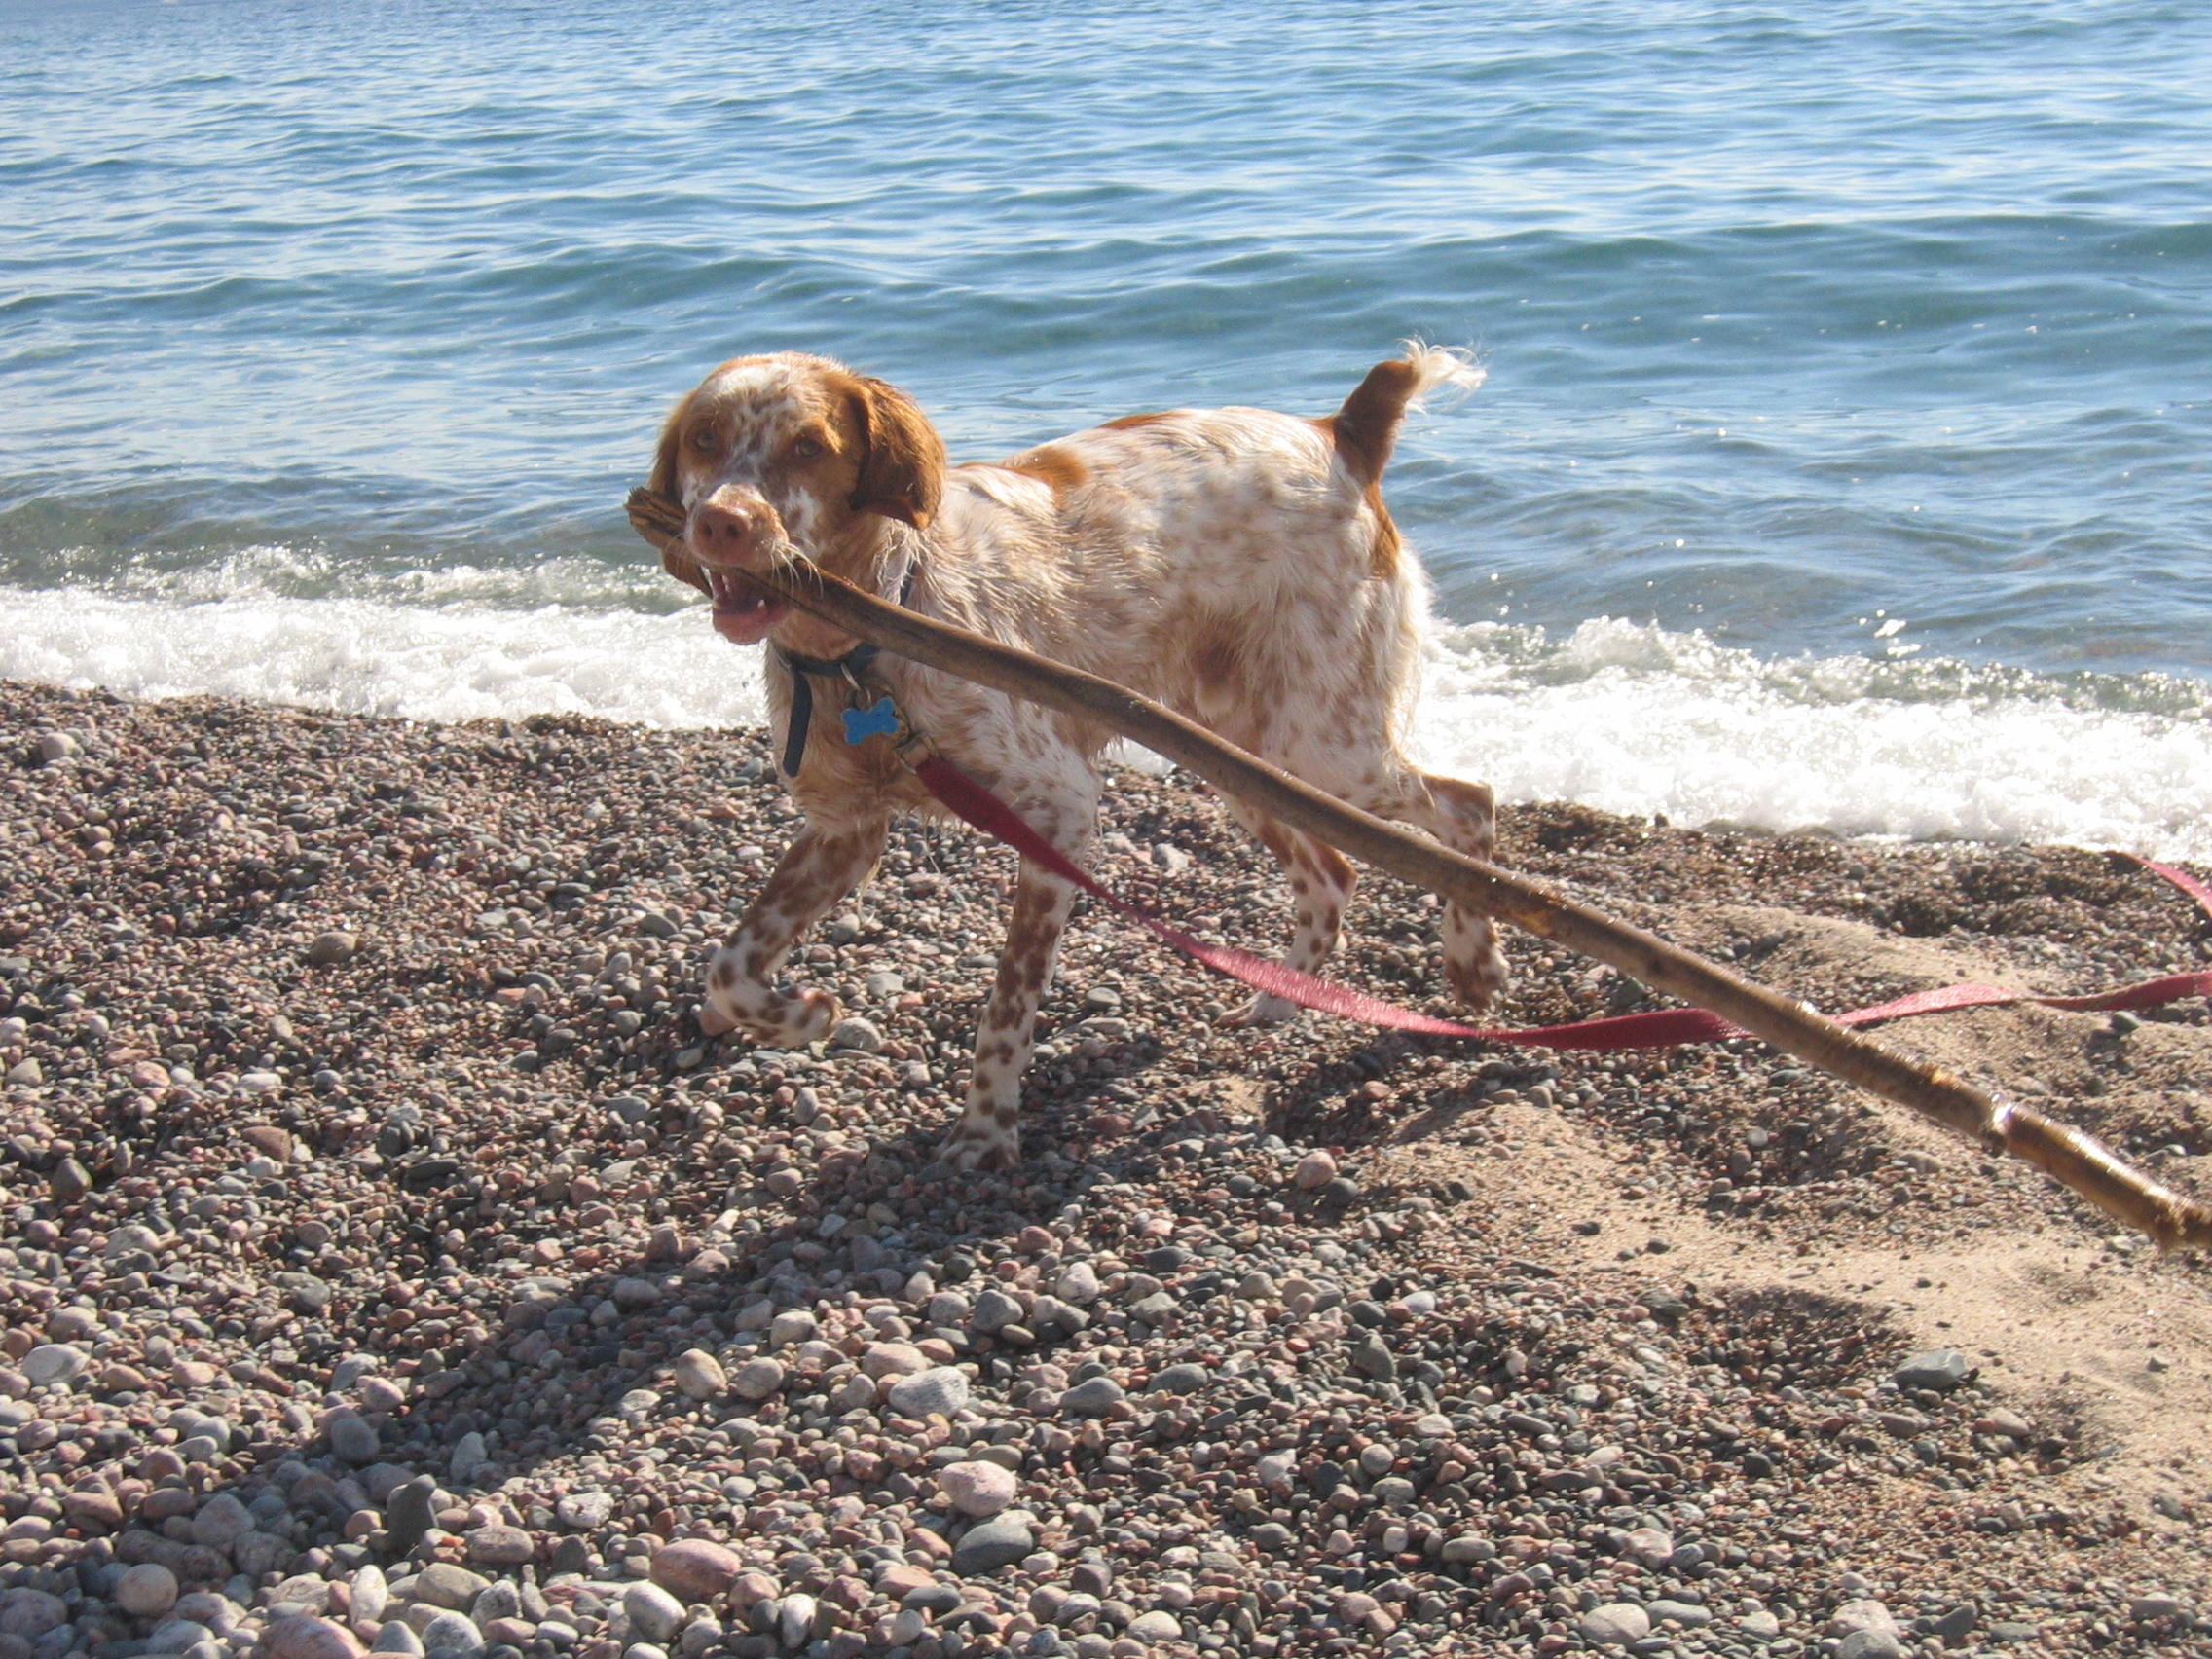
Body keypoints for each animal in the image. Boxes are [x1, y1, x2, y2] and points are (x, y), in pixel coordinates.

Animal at [645, 345, 1513, 1167]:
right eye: (704, 438)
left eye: (808, 447)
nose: (723, 523)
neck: (866, 639)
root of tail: (1338, 431)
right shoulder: (844, 831)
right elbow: (729, 968)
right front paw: (801, 1016)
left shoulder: (1057, 810)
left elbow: (1006, 1005)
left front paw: (985, 1130)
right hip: (1241, 751)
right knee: (1334, 874)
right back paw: (1279, 1002)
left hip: (1323, 744)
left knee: (1469, 802)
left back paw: (1473, 963)